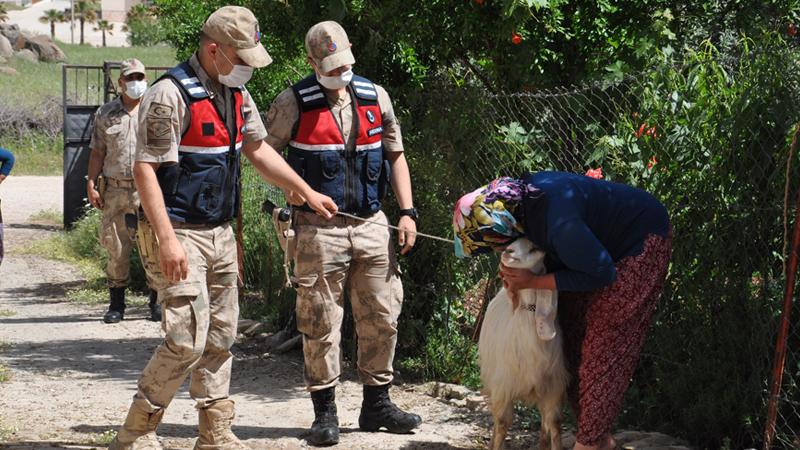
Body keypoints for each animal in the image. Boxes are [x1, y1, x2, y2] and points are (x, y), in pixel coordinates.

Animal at [476, 237, 568, 448]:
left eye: (533, 246)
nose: (507, 252)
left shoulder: (553, 387)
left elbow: (555, 424)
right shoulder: (504, 385)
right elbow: (502, 423)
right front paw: (495, 446)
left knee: (544, 425)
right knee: (496, 420)